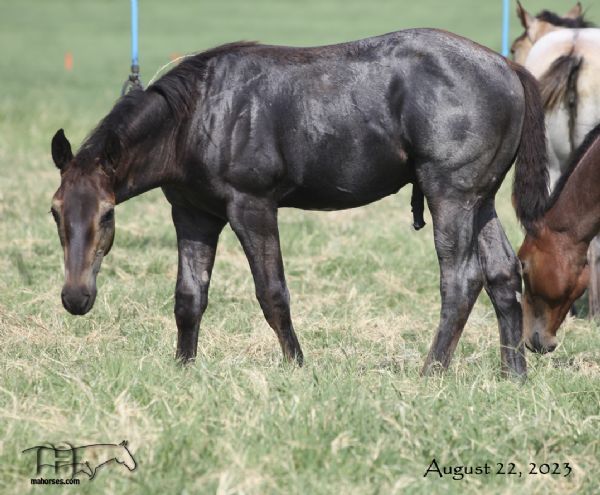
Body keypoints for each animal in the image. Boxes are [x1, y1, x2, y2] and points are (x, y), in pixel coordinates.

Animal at [49, 30, 552, 376]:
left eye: (107, 213)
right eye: (54, 211)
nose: (76, 297)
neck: (198, 115)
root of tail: (507, 68)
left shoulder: (251, 207)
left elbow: (272, 293)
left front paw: (296, 366)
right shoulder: (194, 214)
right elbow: (189, 297)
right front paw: (183, 369)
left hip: (450, 195)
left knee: (461, 279)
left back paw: (431, 371)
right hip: (479, 200)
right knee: (502, 273)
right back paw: (513, 374)